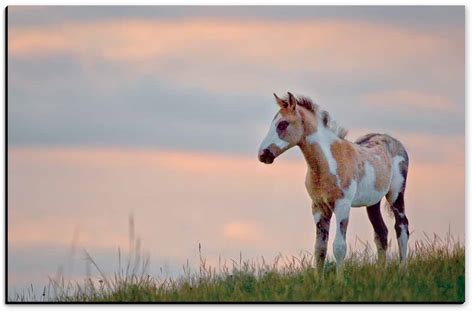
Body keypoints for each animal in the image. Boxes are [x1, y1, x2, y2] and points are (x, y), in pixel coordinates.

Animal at [258, 91, 410, 270]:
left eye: (282, 124)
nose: (263, 154)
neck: (328, 164)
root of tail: (395, 142)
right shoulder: (319, 207)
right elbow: (319, 249)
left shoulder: (342, 205)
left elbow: (339, 247)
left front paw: (340, 277)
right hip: (373, 201)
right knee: (381, 233)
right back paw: (380, 272)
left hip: (396, 194)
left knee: (402, 227)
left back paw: (402, 270)